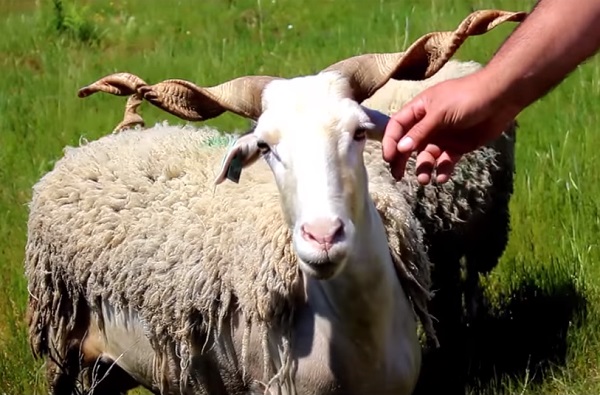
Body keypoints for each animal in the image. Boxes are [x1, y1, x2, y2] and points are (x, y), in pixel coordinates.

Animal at [24, 9, 524, 395]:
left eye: (360, 131)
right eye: (264, 146)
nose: (322, 236)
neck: (359, 333)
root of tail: (106, 140)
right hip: (62, 348)